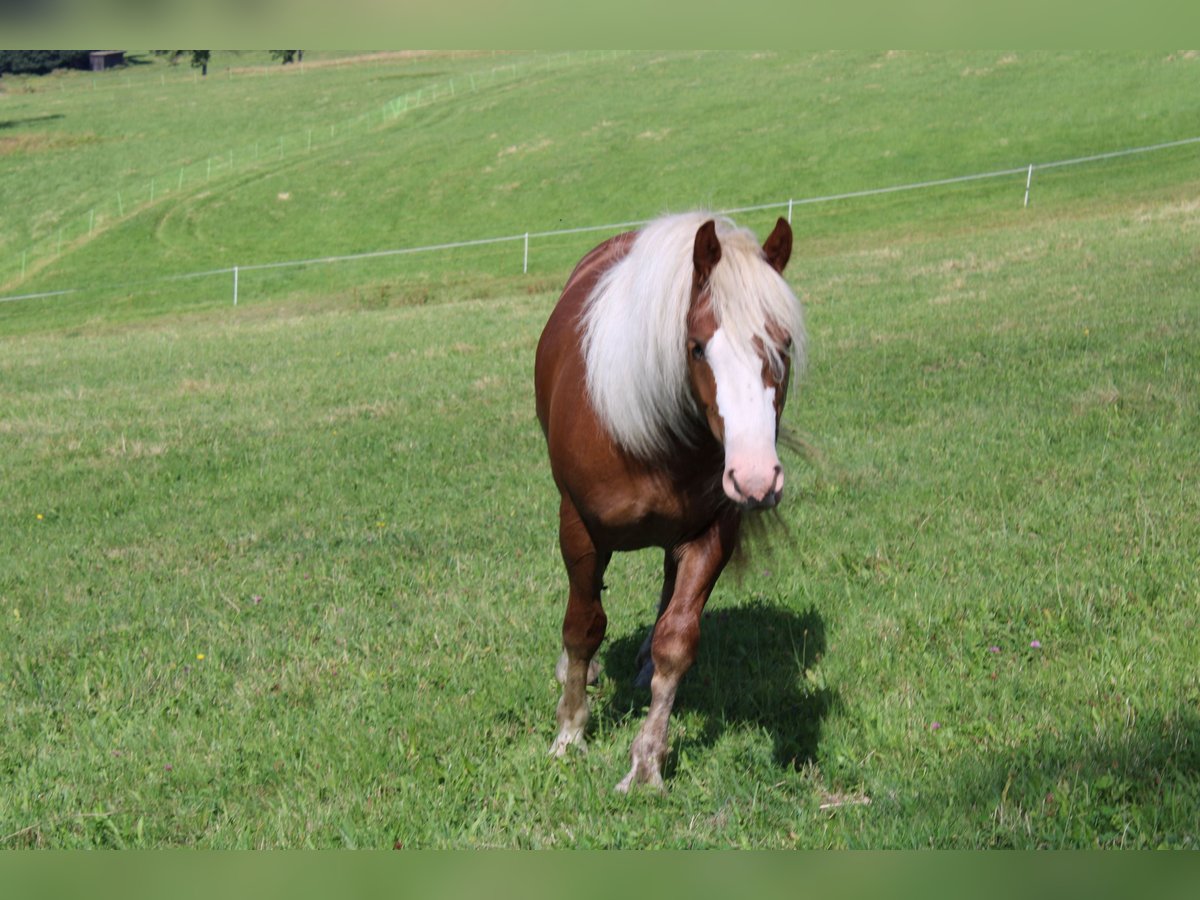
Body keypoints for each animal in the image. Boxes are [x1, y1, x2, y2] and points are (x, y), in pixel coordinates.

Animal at [535, 211, 806, 787]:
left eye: (785, 342)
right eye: (698, 346)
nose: (756, 478)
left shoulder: (711, 534)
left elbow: (676, 642)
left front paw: (646, 763)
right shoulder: (579, 529)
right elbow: (583, 625)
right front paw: (569, 733)